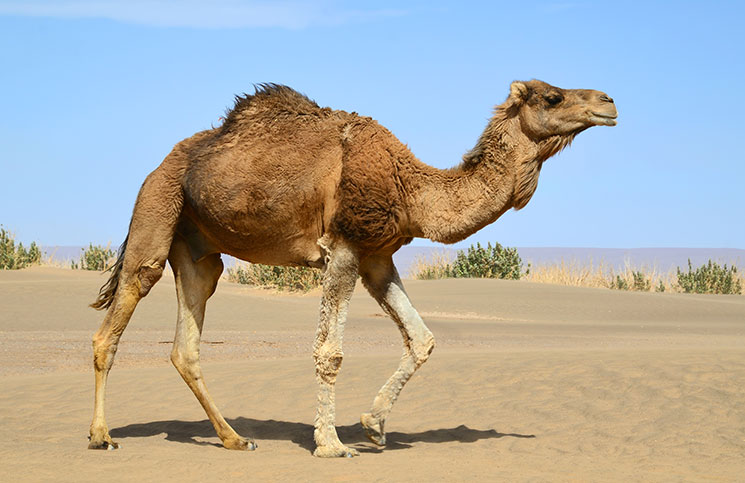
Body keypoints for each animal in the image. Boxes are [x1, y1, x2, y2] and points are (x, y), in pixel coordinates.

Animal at [87, 79, 617, 457]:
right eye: (553, 96)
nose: (609, 102)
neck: (412, 189)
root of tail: (161, 165)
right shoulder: (342, 247)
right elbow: (330, 353)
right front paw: (331, 444)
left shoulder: (377, 256)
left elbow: (422, 339)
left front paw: (374, 426)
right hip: (156, 208)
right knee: (117, 316)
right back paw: (102, 436)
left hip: (199, 251)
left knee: (186, 344)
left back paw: (235, 439)